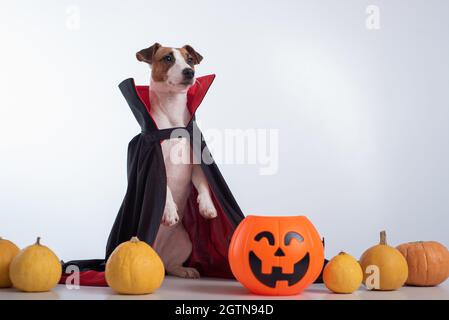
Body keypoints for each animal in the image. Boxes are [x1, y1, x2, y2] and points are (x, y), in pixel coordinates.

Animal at [135, 43, 217, 278]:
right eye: (168, 58)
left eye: (189, 59)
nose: (189, 72)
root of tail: (158, 253)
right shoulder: (156, 163)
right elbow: (166, 188)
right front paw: (170, 210)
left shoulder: (196, 164)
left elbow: (203, 184)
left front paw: (207, 207)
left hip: (185, 241)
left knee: (170, 265)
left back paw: (183, 270)